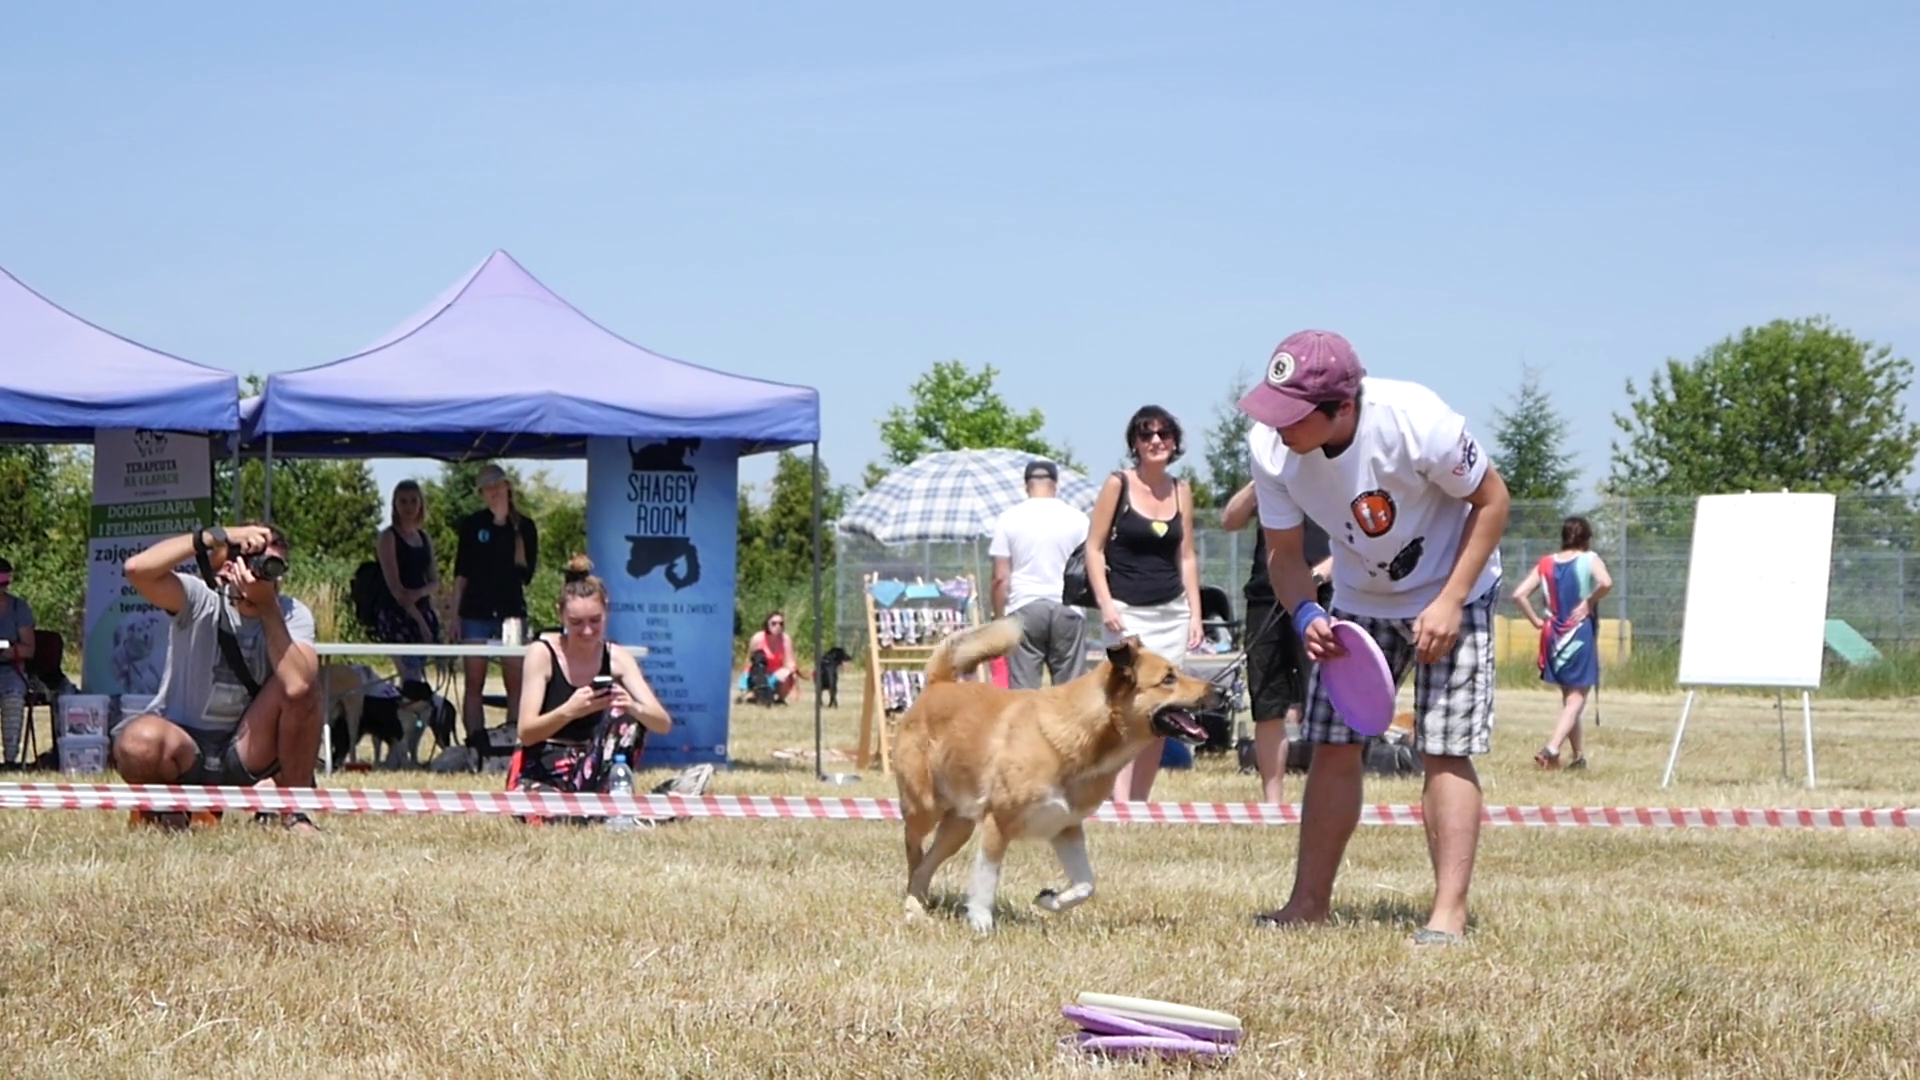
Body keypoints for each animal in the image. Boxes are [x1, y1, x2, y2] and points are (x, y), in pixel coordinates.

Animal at [892, 617, 1224, 933]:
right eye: (1168, 679)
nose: (1222, 691)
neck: (1078, 735)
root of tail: (937, 684)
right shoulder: (998, 822)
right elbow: (986, 879)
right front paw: (981, 923)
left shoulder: (1066, 826)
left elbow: (1086, 884)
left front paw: (1049, 899)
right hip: (925, 807)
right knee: (913, 850)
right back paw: (913, 906)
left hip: (958, 826)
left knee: (925, 866)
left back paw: (918, 908)